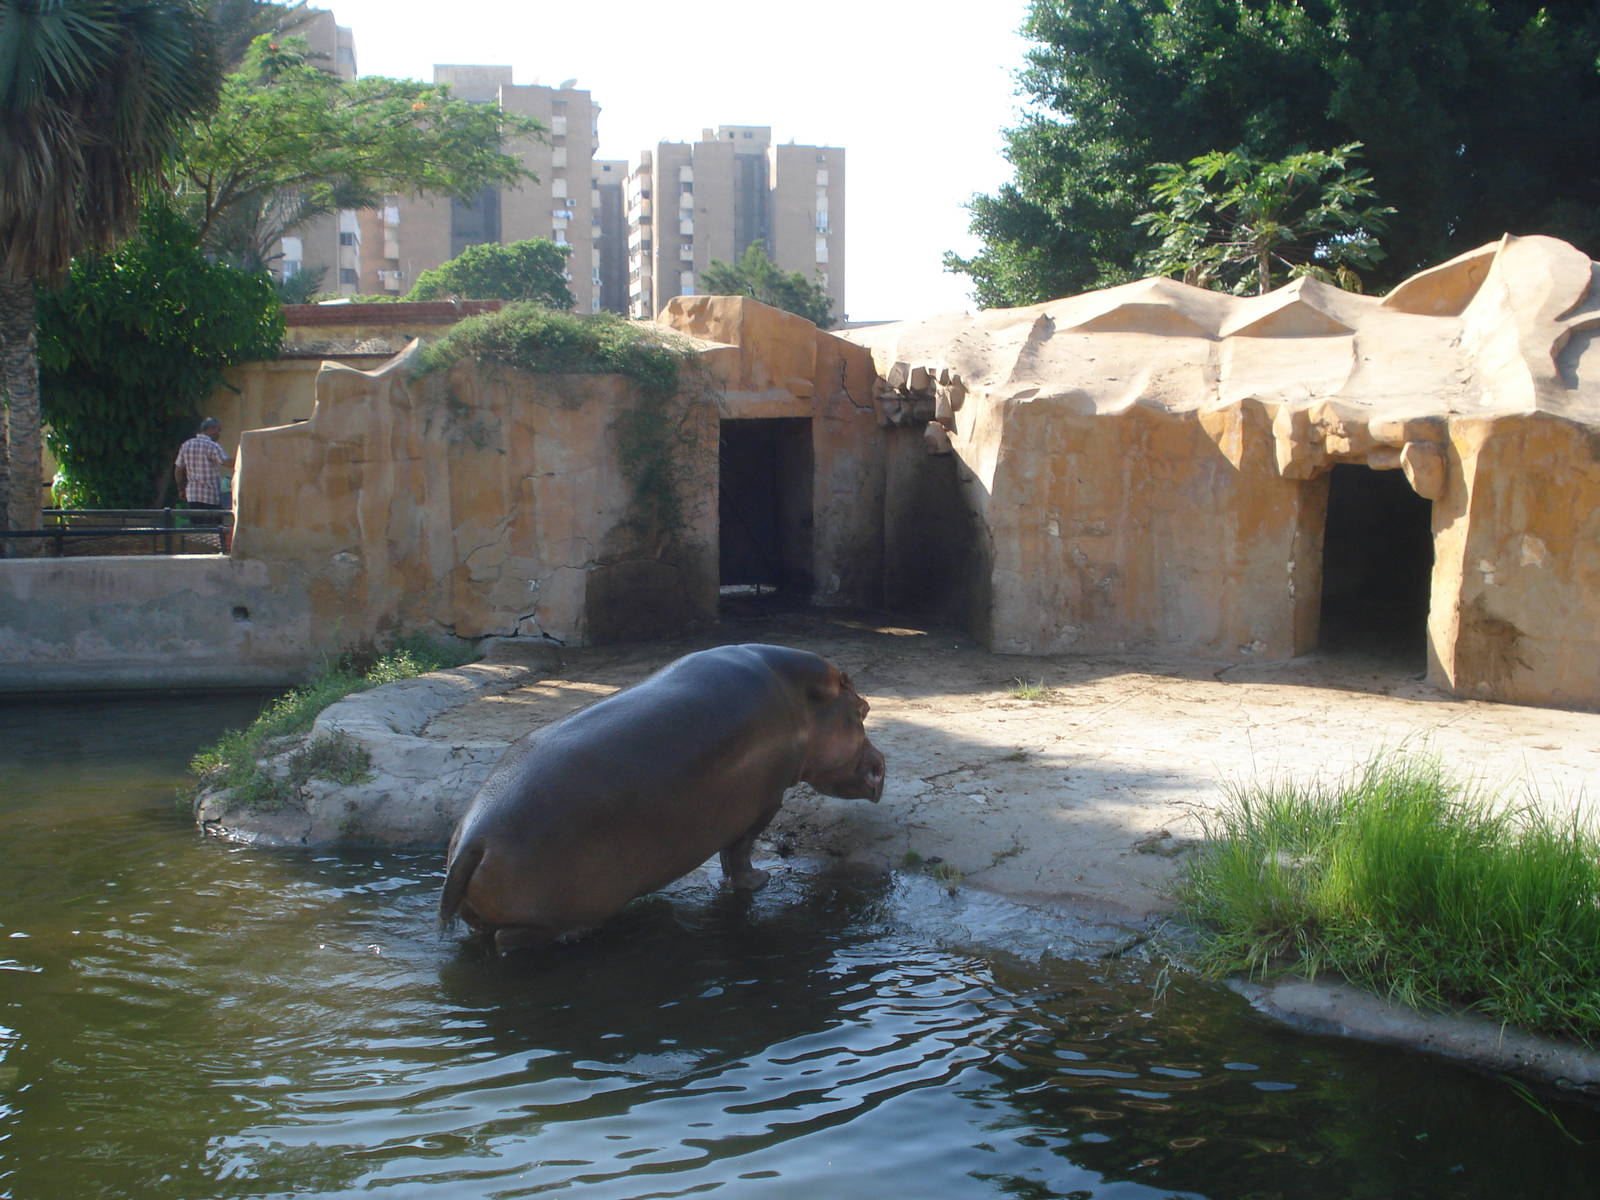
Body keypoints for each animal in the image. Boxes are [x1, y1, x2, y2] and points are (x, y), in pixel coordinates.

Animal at [439, 643, 886, 953]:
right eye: (863, 710)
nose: (881, 765)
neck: (802, 700)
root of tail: (476, 840)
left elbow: (729, 857)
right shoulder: (765, 803)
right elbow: (740, 852)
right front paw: (760, 882)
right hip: (549, 916)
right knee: (513, 940)